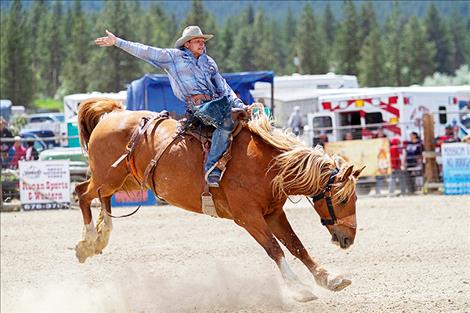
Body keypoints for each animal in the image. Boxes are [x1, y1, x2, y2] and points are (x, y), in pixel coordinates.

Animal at [76, 98, 364, 302]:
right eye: (341, 199)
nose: (348, 239)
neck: (267, 166)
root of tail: (113, 114)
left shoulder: (273, 213)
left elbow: (296, 246)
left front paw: (330, 279)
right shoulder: (248, 217)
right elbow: (275, 248)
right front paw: (299, 288)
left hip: (126, 180)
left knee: (102, 199)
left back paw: (100, 238)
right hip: (108, 177)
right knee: (82, 193)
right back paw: (88, 241)